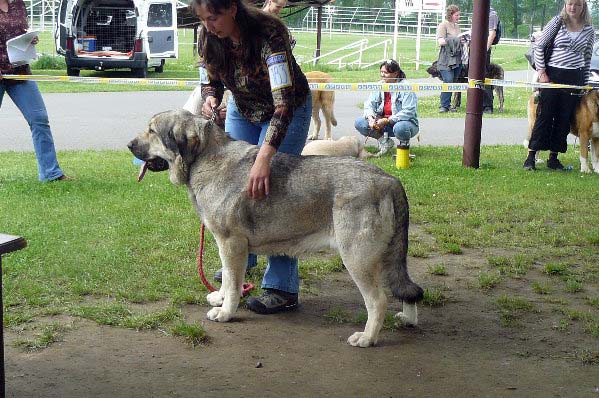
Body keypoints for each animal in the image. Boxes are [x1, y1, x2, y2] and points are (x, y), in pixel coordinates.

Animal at [129, 109, 424, 348]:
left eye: (152, 131)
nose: (130, 145)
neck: (206, 159)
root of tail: (390, 180)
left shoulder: (232, 243)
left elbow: (233, 284)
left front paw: (226, 312)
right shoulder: (225, 246)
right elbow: (227, 278)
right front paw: (220, 298)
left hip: (357, 259)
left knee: (378, 301)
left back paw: (367, 338)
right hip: (387, 257)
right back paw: (408, 318)